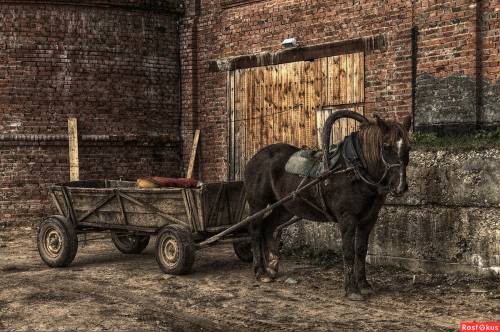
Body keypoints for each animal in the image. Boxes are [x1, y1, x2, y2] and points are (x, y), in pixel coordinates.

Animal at [242, 110, 410, 300]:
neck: (355, 169)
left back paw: (271, 268)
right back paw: (260, 272)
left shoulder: (369, 219)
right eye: (386, 146)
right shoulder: (347, 218)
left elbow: (361, 250)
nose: (400, 186)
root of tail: (255, 158)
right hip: (258, 204)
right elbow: (349, 252)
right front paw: (351, 289)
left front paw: (364, 285)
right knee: (256, 230)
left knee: (269, 227)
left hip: (285, 207)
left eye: (408, 148)